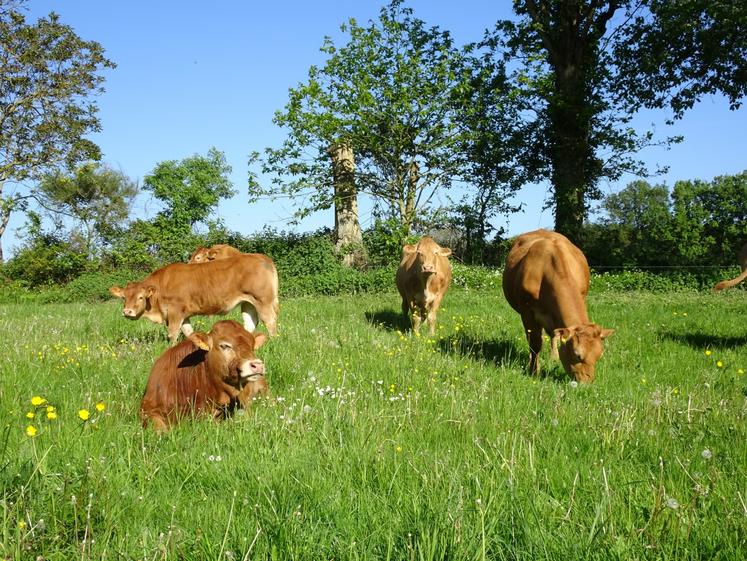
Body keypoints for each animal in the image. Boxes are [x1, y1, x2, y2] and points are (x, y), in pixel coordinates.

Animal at [107, 253, 278, 342]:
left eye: (141, 297)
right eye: (124, 297)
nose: (127, 312)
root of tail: (262, 258)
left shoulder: (175, 312)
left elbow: (173, 334)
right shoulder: (184, 315)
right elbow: (189, 332)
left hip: (263, 301)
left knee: (270, 322)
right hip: (248, 303)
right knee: (250, 323)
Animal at [502, 228, 612, 380]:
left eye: (599, 355)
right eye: (577, 355)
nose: (587, 383)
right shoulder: (527, 311)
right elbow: (535, 343)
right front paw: (533, 371)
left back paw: (553, 357)